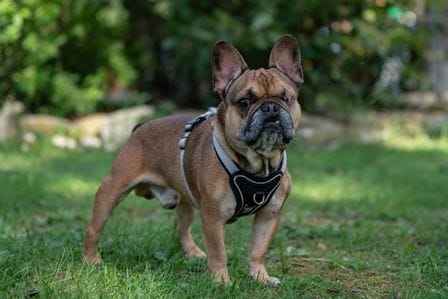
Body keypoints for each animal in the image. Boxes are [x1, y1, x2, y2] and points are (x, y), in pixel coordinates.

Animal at [83, 35, 304, 286]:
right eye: (244, 102)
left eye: (286, 97)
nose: (271, 107)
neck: (259, 164)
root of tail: (138, 128)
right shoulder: (213, 217)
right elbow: (219, 252)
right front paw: (221, 282)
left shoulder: (269, 215)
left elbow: (258, 249)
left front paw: (260, 277)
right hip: (113, 189)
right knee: (94, 228)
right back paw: (91, 259)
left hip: (185, 201)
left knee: (181, 228)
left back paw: (194, 253)